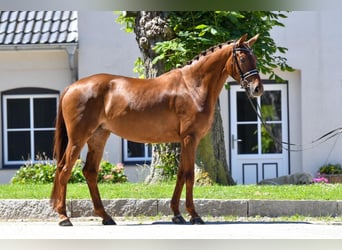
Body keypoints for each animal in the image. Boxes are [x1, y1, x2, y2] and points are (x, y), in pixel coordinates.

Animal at [51, 33, 264, 227]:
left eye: (255, 58)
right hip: (78, 138)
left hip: (98, 137)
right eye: (242, 58)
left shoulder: (184, 141)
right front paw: (194, 215)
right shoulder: (190, 138)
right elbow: (189, 175)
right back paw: (64, 217)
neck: (192, 86)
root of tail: (72, 86)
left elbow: (181, 174)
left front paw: (177, 214)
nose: (257, 89)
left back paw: (105, 217)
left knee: (89, 172)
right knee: (64, 169)